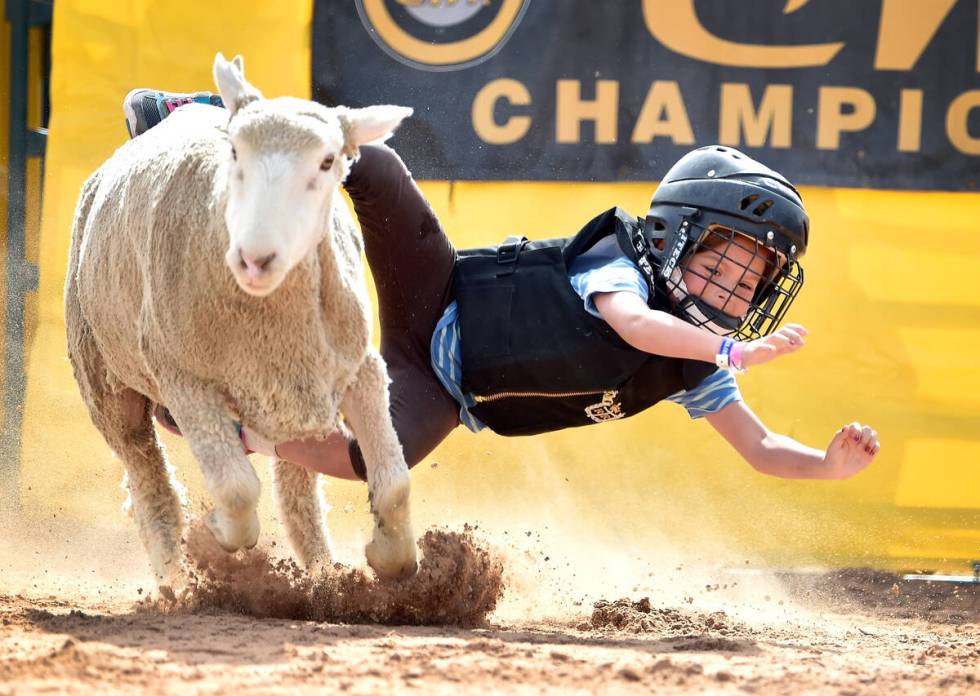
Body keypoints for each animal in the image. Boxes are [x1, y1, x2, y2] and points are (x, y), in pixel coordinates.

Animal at [64, 51, 418, 588]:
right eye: (234, 151)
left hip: (296, 400)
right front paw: (214, 536)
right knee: (149, 481)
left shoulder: (361, 369)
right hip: (105, 382)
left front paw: (391, 556)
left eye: (328, 161)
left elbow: (395, 482)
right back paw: (176, 578)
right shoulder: (185, 380)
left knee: (299, 493)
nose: (255, 259)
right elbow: (235, 490)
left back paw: (322, 575)